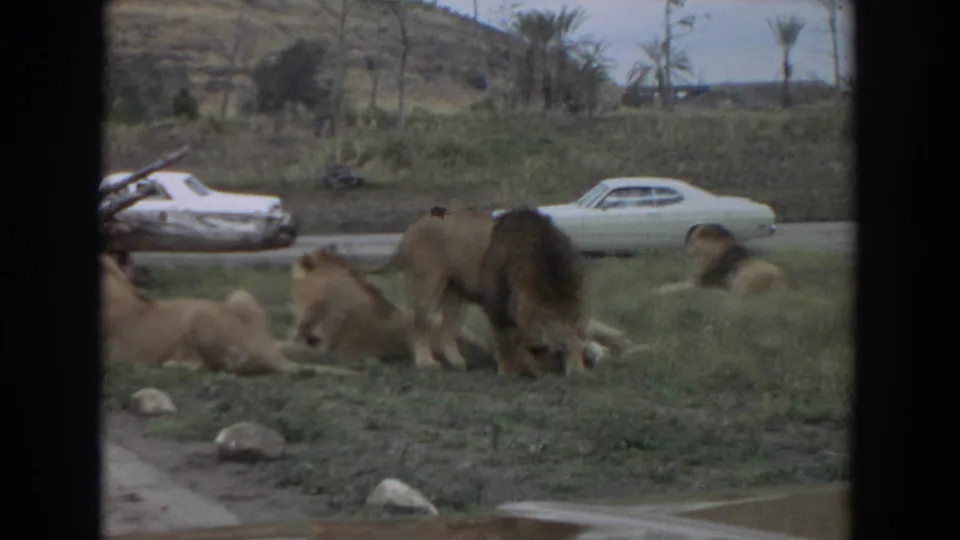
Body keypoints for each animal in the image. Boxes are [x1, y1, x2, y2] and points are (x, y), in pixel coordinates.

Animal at [654, 223, 788, 296]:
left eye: (691, 240)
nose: (685, 250)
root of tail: (782, 281)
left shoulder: (698, 282)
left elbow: (676, 286)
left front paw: (660, 290)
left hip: (747, 274)